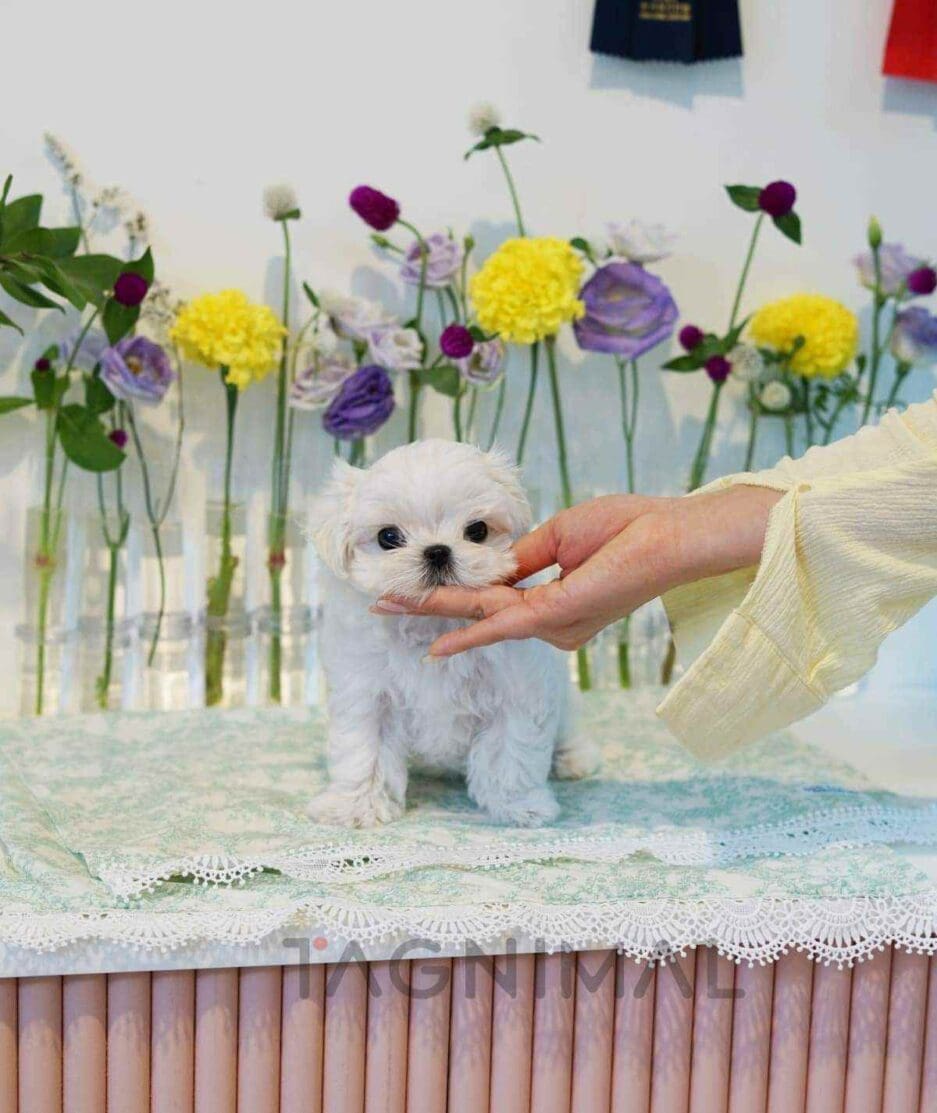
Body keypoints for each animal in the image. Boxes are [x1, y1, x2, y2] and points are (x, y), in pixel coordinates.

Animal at [308, 439, 599, 828]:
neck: (434, 623)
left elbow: (510, 754)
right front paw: (355, 806)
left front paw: (520, 806)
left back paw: (574, 758)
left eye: (477, 531)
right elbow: (364, 752)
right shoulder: (368, 694)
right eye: (388, 537)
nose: (436, 551)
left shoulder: (515, 692)